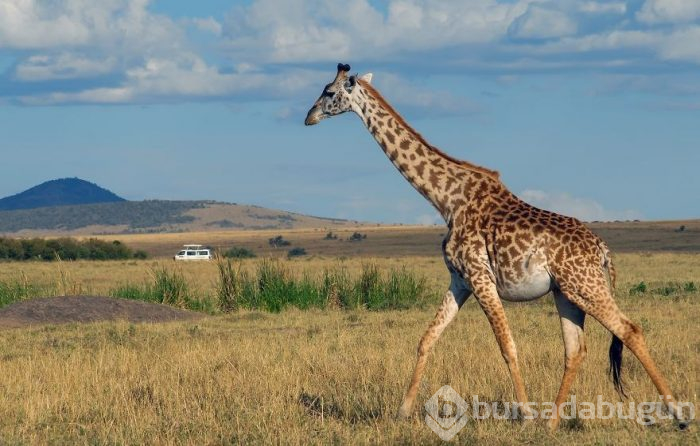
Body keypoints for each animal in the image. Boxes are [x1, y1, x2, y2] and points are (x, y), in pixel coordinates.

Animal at [302, 64, 688, 430]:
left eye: (329, 91)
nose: (308, 117)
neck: (446, 200)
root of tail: (603, 250)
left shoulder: (481, 277)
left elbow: (507, 346)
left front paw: (526, 415)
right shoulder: (459, 280)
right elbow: (427, 339)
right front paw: (402, 412)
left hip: (585, 286)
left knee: (630, 330)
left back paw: (678, 415)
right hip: (566, 292)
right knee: (576, 349)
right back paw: (551, 424)